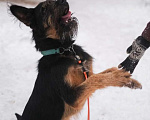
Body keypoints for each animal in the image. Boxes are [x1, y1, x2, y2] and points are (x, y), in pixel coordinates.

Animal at [9, 0, 142, 119]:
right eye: (44, 9)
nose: (62, 0)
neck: (64, 51)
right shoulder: (72, 97)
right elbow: (96, 79)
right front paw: (118, 76)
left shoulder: (87, 73)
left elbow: (104, 72)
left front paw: (129, 80)